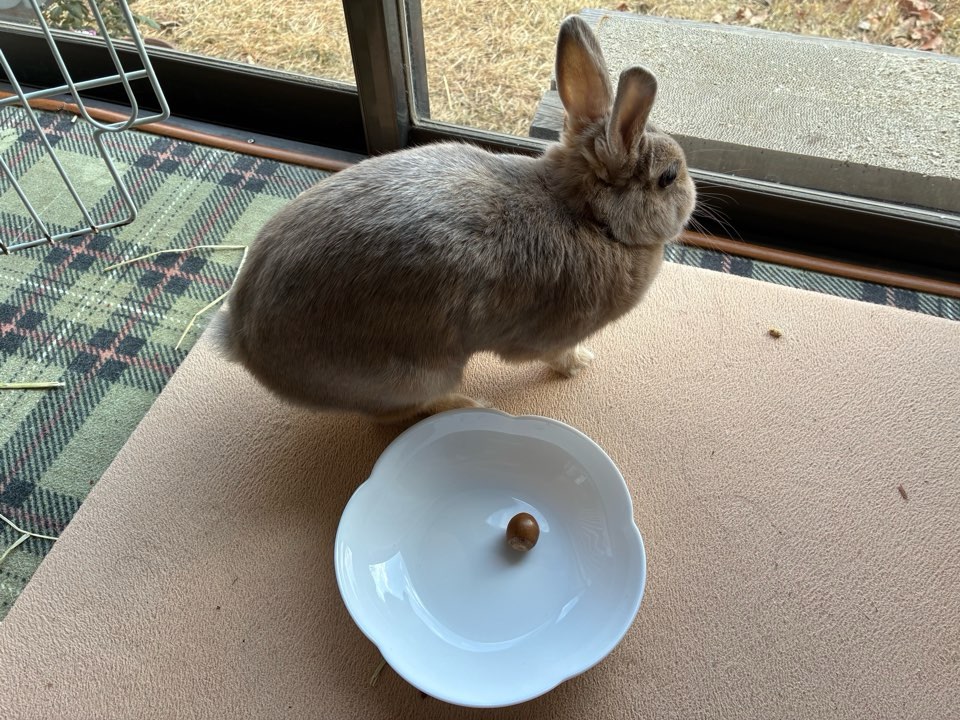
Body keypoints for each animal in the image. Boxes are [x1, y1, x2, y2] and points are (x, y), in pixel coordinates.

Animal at [213, 15, 696, 421]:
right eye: (669, 177)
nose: (693, 199)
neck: (591, 218)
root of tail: (242, 342)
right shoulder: (552, 335)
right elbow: (556, 354)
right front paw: (580, 364)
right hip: (420, 372)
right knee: (401, 412)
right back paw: (467, 404)